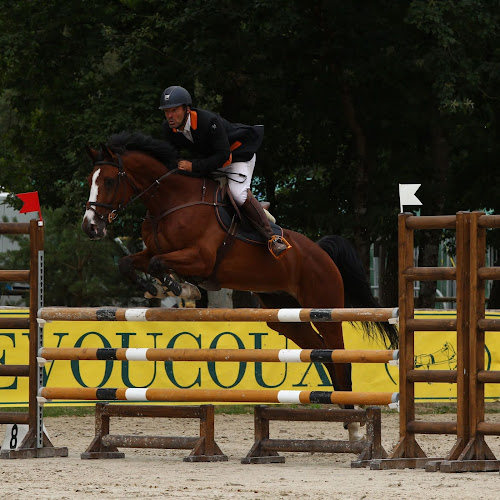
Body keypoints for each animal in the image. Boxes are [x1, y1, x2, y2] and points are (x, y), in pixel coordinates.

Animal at [84, 131, 400, 440]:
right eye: (90, 181)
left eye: (109, 181)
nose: (90, 227)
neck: (169, 202)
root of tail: (321, 252)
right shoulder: (153, 250)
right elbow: (131, 263)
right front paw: (159, 288)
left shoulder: (201, 259)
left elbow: (158, 264)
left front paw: (179, 288)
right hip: (284, 315)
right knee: (323, 353)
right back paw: (346, 418)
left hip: (324, 308)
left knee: (339, 356)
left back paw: (355, 426)